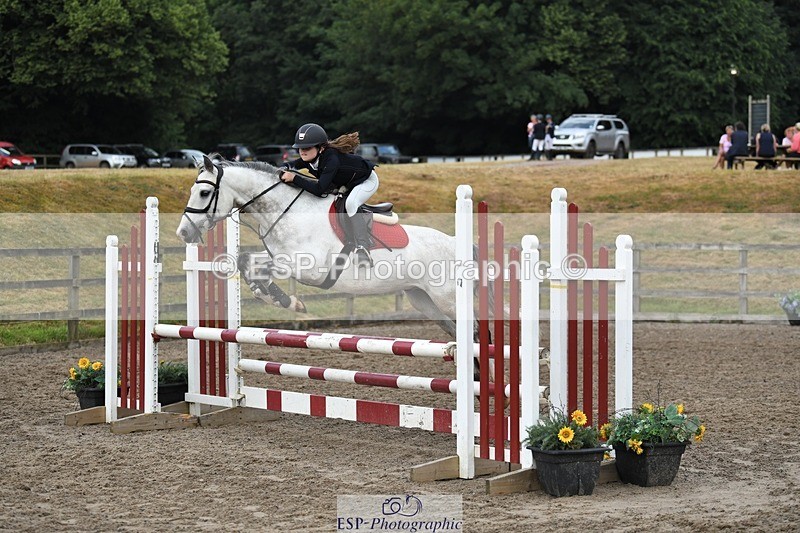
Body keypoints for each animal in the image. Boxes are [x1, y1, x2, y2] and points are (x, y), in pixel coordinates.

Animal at [176, 155, 465, 338]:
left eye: (204, 193)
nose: (184, 232)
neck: (286, 211)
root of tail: (455, 243)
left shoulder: (308, 268)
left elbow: (256, 265)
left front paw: (290, 302)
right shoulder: (278, 255)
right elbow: (246, 260)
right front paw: (275, 297)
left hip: (447, 298)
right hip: (423, 299)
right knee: (452, 329)